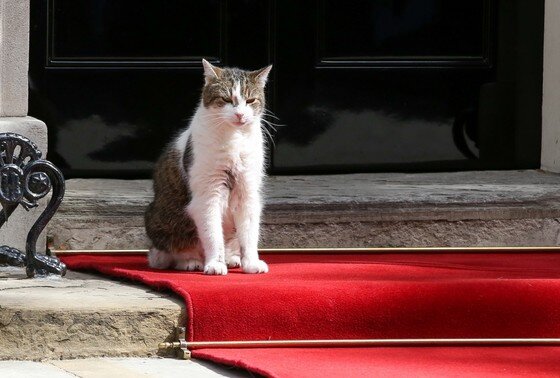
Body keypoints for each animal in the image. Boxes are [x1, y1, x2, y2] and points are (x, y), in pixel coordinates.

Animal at [144, 59, 272, 274]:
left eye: (250, 100)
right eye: (226, 99)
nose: (240, 114)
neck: (234, 138)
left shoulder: (247, 191)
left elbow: (249, 234)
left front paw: (251, 263)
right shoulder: (208, 193)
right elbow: (212, 234)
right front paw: (215, 264)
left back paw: (232, 258)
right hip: (163, 223)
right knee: (170, 254)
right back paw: (191, 261)